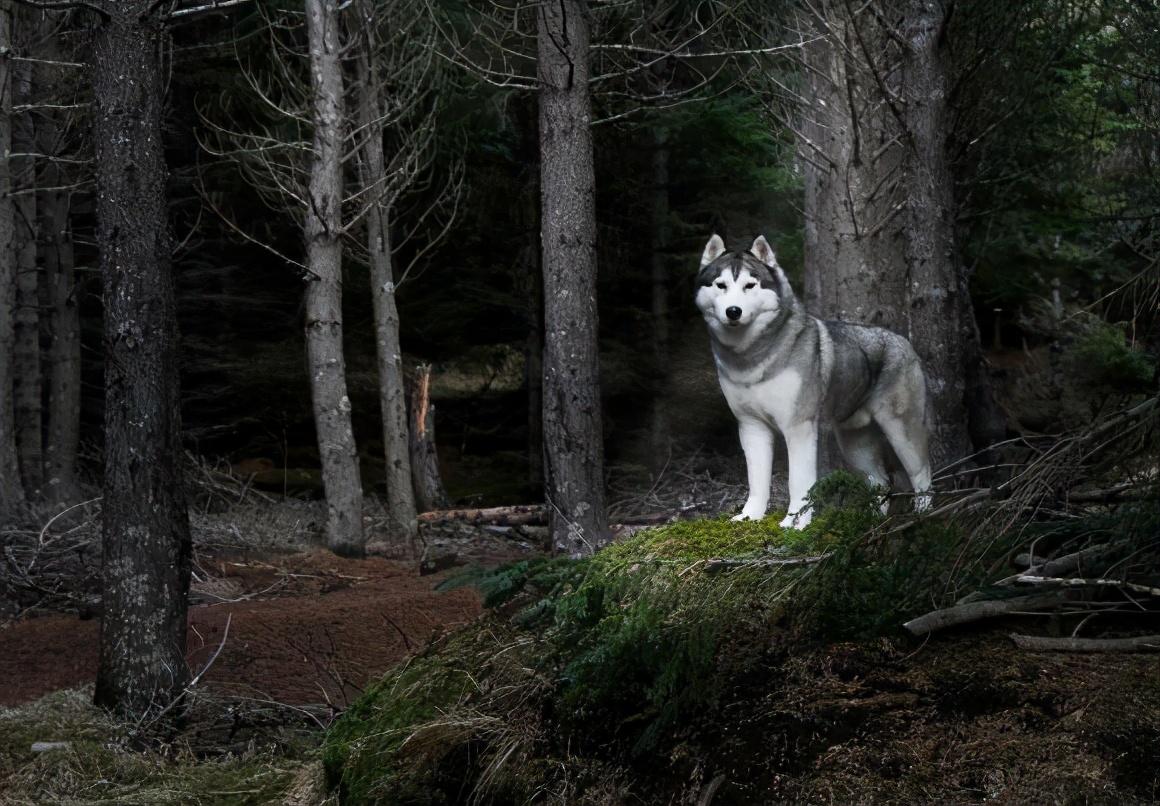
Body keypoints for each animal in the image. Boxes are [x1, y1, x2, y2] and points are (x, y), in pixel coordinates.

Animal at [696, 231, 932, 528]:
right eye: (721, 285)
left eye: (750, 285)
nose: (733, 311)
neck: (752, 356)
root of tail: (903, 341)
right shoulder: (752, 427)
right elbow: (757, 480)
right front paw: (751, 516)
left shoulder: (799, 427)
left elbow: (799, 481)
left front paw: (795, 524)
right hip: (855, 442)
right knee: (880, 481)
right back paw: (868, 521)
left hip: (902, 431)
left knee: (923, 474)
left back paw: (926, 515)